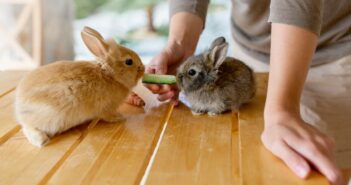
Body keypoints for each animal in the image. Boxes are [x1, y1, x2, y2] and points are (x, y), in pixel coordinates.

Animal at [14, 26, 145, 147]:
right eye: (129, 62)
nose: (143, 68)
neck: (109, 74)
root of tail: (20, 107)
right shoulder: (106, 108)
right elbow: (108, 115)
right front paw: (119, 118)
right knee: (28, 128)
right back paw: (41, 141)